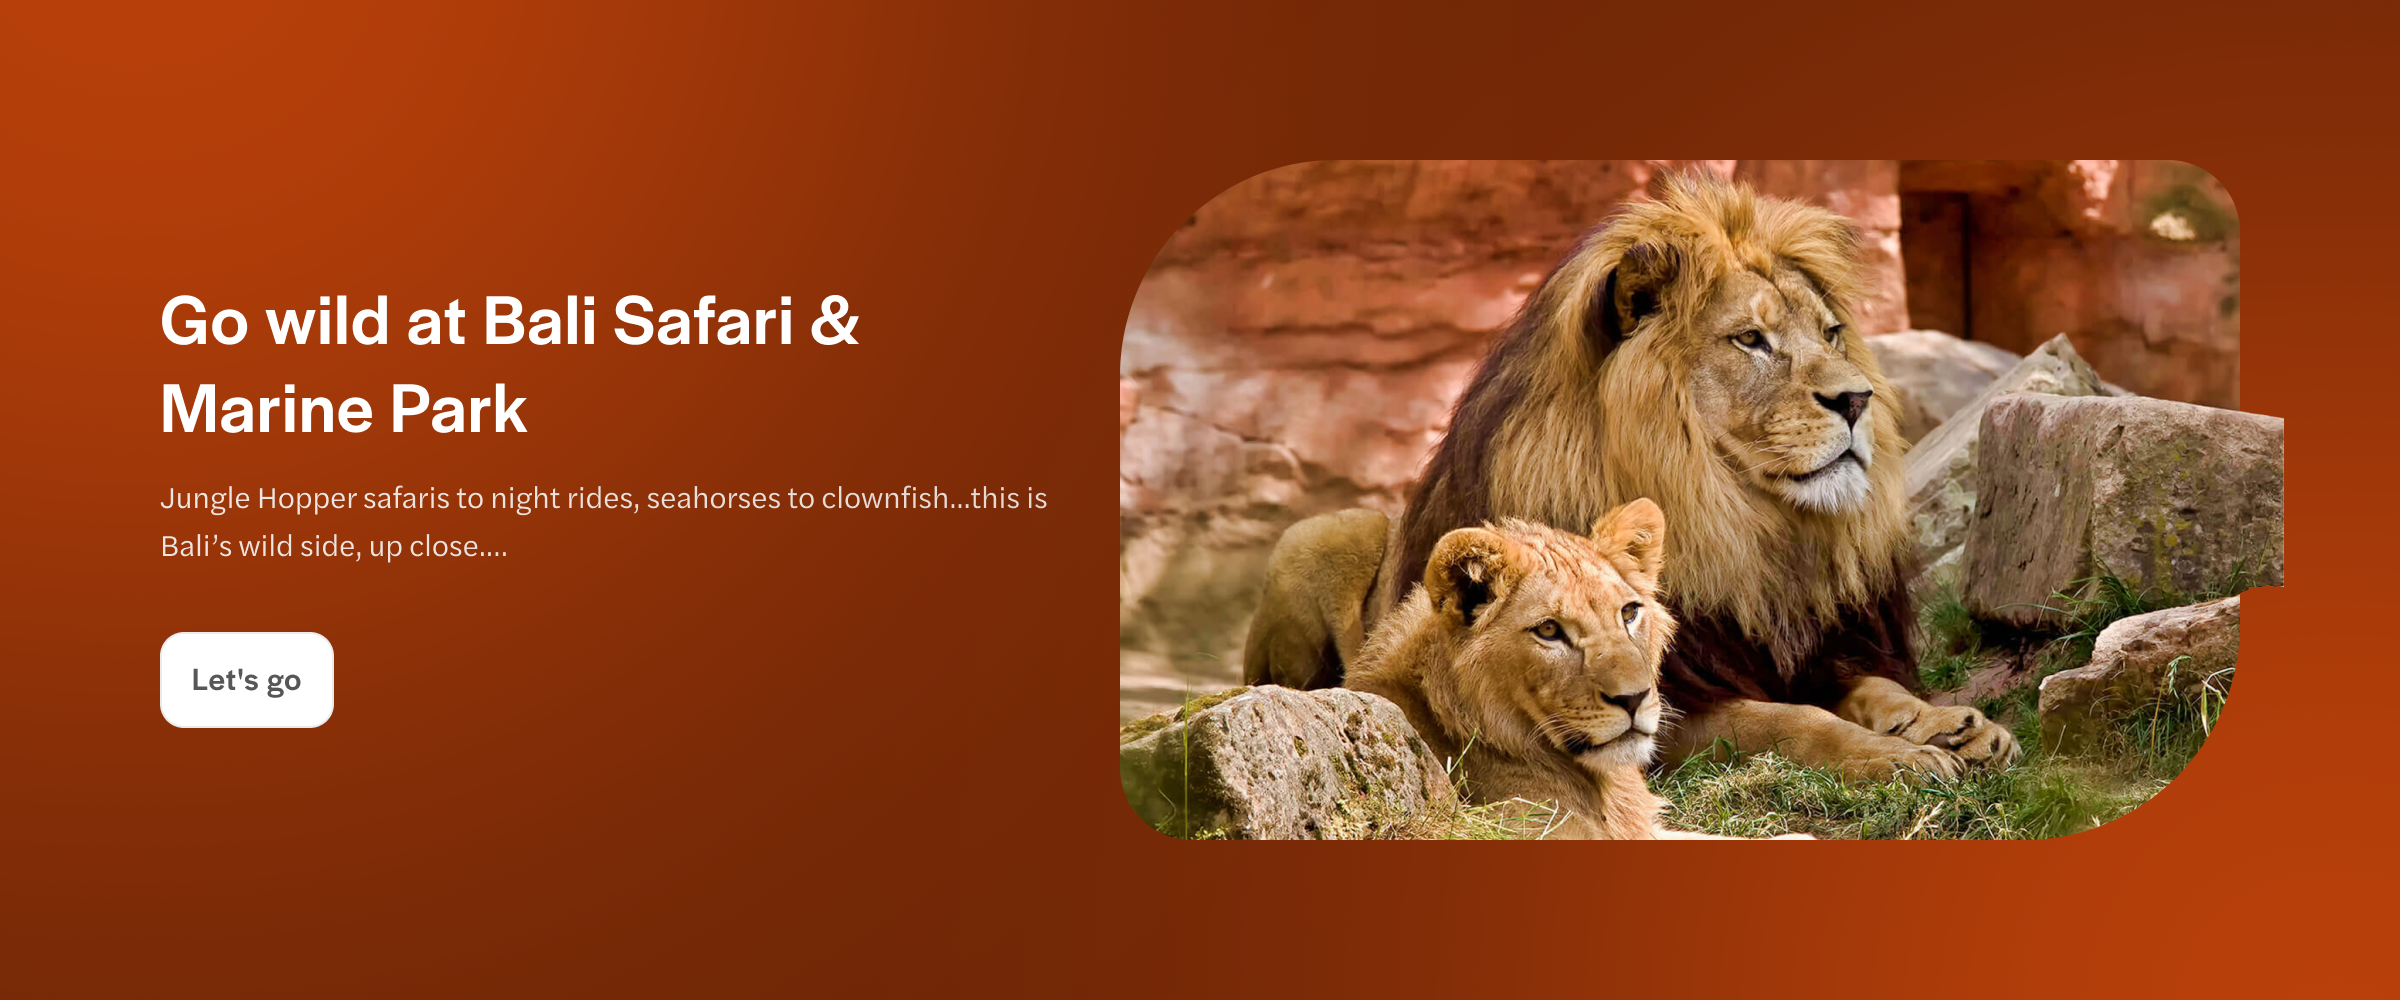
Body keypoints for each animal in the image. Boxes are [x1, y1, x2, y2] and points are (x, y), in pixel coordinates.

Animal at [1248, 173, 2018, 782]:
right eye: (1751, 339)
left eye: (1830, 334)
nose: (1858, 400)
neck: (1743, 529)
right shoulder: (1659, 707)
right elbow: (1794, 721)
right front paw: (1900, 756)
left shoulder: (1813, 647)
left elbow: (1875, 689)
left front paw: (1949, 723)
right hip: (1320, 532)